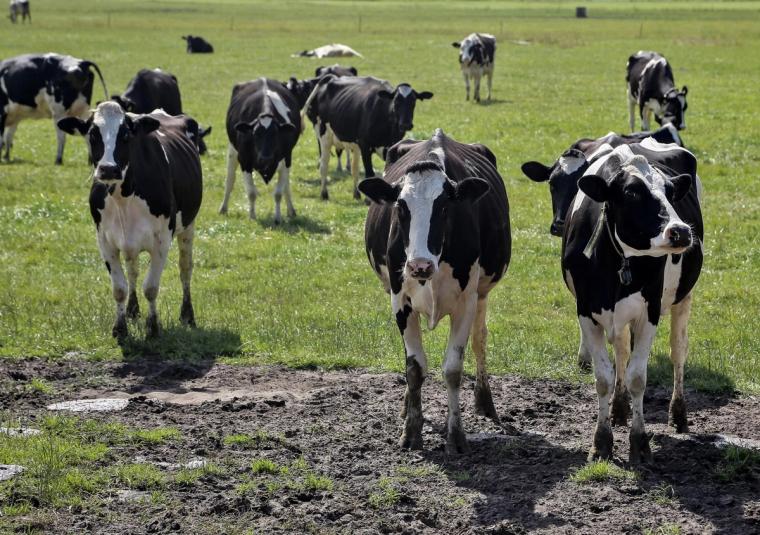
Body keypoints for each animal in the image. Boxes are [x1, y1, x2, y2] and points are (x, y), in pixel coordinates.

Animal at [57, 102, 203, 339]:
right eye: (92, 134)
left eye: (125, 135)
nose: (108, 169)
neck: (122, 198)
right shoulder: (105, 240)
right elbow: (120, 288)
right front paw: (120, 328)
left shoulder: (162, 240)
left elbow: (151, 287)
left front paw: (153, 327)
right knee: (133, 270)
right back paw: (133, 310)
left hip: (188, 226)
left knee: (185, 268)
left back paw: (187, 315)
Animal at [219, 78, 301, 223]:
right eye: (255, 134)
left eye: (275, 134)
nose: (265, 158)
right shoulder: (244, 160)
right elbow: (251, 193)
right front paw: (252, 217)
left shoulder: (286, 158)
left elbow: (278, 193)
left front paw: (278, 218)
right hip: (232, 150)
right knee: (230, 179)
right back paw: (223, 208)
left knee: (286, 186)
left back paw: (291, 210)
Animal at [302, 75, 433, 200]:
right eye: (396, 101)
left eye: (413, 102)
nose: (406, 124)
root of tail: (330, 78)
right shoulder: (365, 145)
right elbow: (370, 173)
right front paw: (369, 201)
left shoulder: (393, 145)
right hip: (324, 136)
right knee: (324, 166)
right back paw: (324, 194)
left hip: (353, 144)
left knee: (354, 169)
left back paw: (356, 194)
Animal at [358, 129, 511, 454]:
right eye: (400, 208)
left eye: (443, 208)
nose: (419, 265)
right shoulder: (400, 301)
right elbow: (414, 367)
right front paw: (411, 432)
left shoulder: (466, 302)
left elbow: (453, 369)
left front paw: (456, 436)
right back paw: (406, 407)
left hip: (482, 294)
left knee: (480, 340)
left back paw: (485, 402)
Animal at [560, 140, 702, 463]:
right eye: (631, 193)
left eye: (669, 192)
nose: (681, 231)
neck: (618, 261)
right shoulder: (586, 312)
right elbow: (603, 377)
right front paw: (601, 442)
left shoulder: (649, 312)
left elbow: (638, 376)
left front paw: (639, 443)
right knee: (623, 351)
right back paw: (619, 409)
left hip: (683, 298)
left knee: (678, 351)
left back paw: (678, 414)